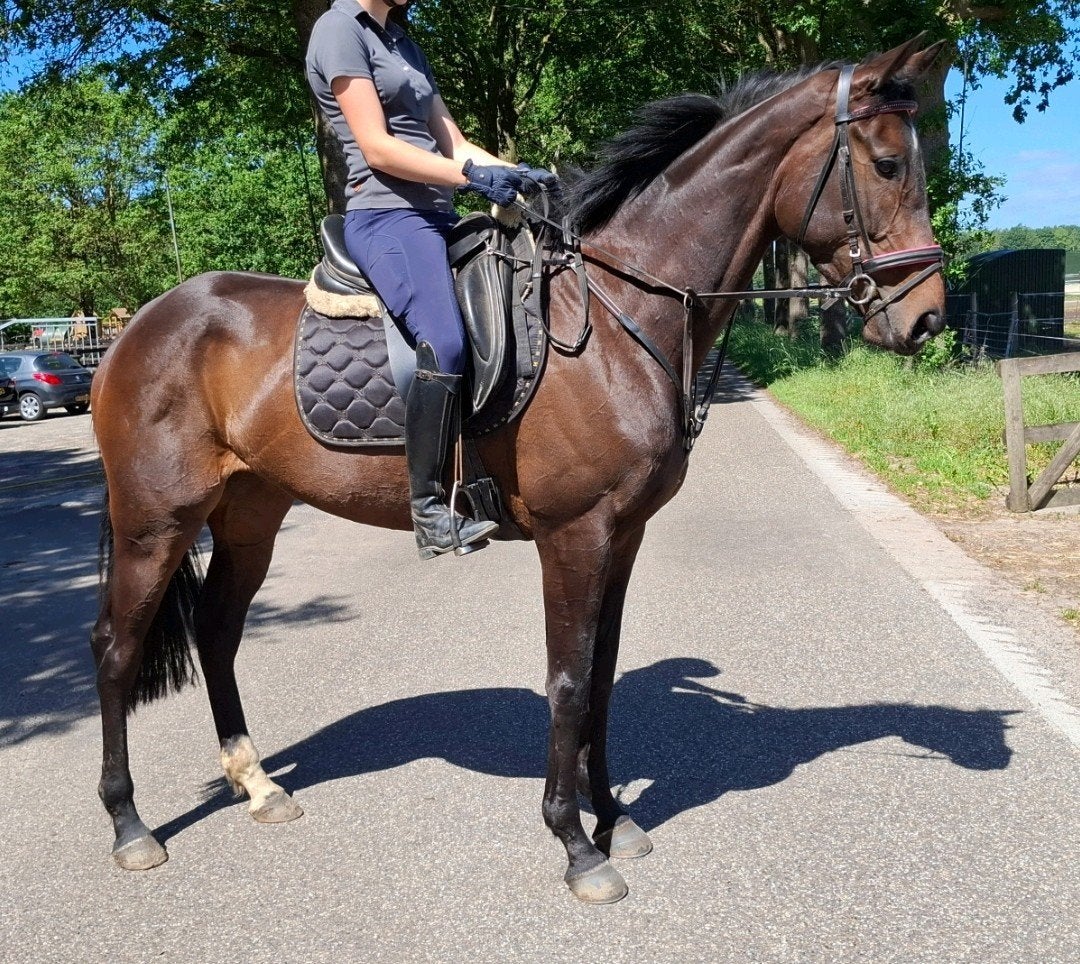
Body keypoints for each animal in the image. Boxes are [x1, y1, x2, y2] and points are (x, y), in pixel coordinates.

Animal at [89, 37, 946, 903]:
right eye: (885, 163)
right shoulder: (575, 535)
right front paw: (575, 845)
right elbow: (567, 682)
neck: (614, 317)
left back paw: (258, 786)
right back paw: (129, 826)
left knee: (218, 633)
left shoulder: (623, 536)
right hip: (156, 521)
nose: (927, 318)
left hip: (250, 513)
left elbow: (601, 676)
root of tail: (142, 324)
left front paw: (614, 819)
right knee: (116, 649)